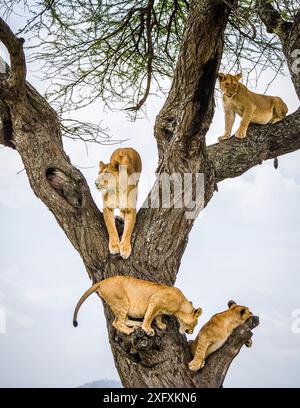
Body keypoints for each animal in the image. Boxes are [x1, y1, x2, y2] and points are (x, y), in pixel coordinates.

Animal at [74, 276, 203, 336]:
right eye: (195, 324)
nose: (191, 332)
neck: (180, 306)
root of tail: (102, 282)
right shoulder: (155, 300)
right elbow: (149, 316)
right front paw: (148, 329)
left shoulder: (159, 306)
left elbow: (158, 316)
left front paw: (161, 325)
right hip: (121, 302)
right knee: (117, 322)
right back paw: (130, 331)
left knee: (124, 320)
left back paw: (137, 325)